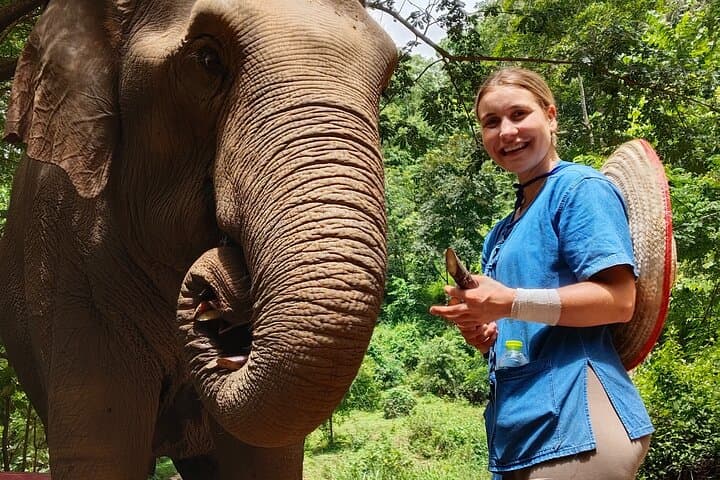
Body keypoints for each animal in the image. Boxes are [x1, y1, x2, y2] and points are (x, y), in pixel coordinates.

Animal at [0, 0, 396, 478]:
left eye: (386, 79)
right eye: (207, 59)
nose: (211, 303)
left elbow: (263, 459)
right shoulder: (71, 268)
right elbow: (101, 452)